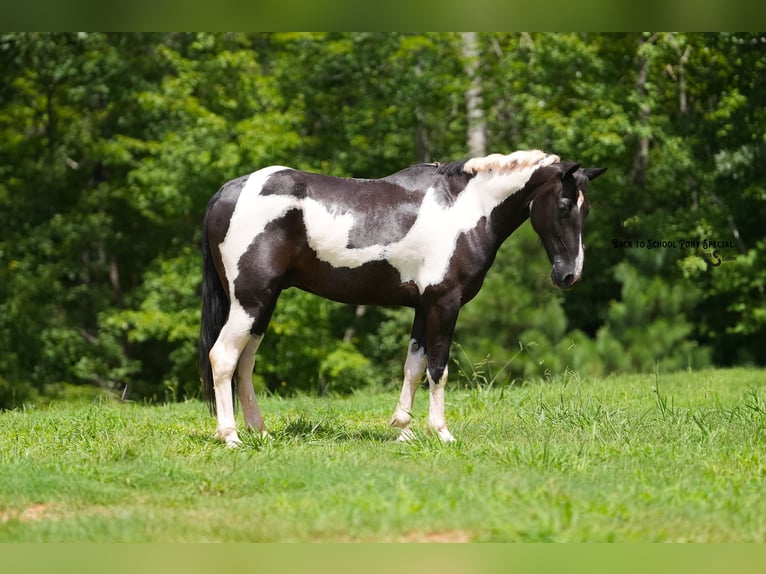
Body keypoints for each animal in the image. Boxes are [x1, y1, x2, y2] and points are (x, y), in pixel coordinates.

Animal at [199, 150, 606, 447]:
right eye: (565, 206)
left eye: (587, 208)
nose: (569, 275)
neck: (465, 209)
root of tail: (227, 192)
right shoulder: (444, 304)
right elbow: (438, 368)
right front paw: (441, 432)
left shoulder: (423, 308)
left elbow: (413, 366)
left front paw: (404, 429)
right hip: (250, 301)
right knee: (223, 358)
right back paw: (230, 436)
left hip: (263, 304)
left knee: (245, 362)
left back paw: (260, 431)